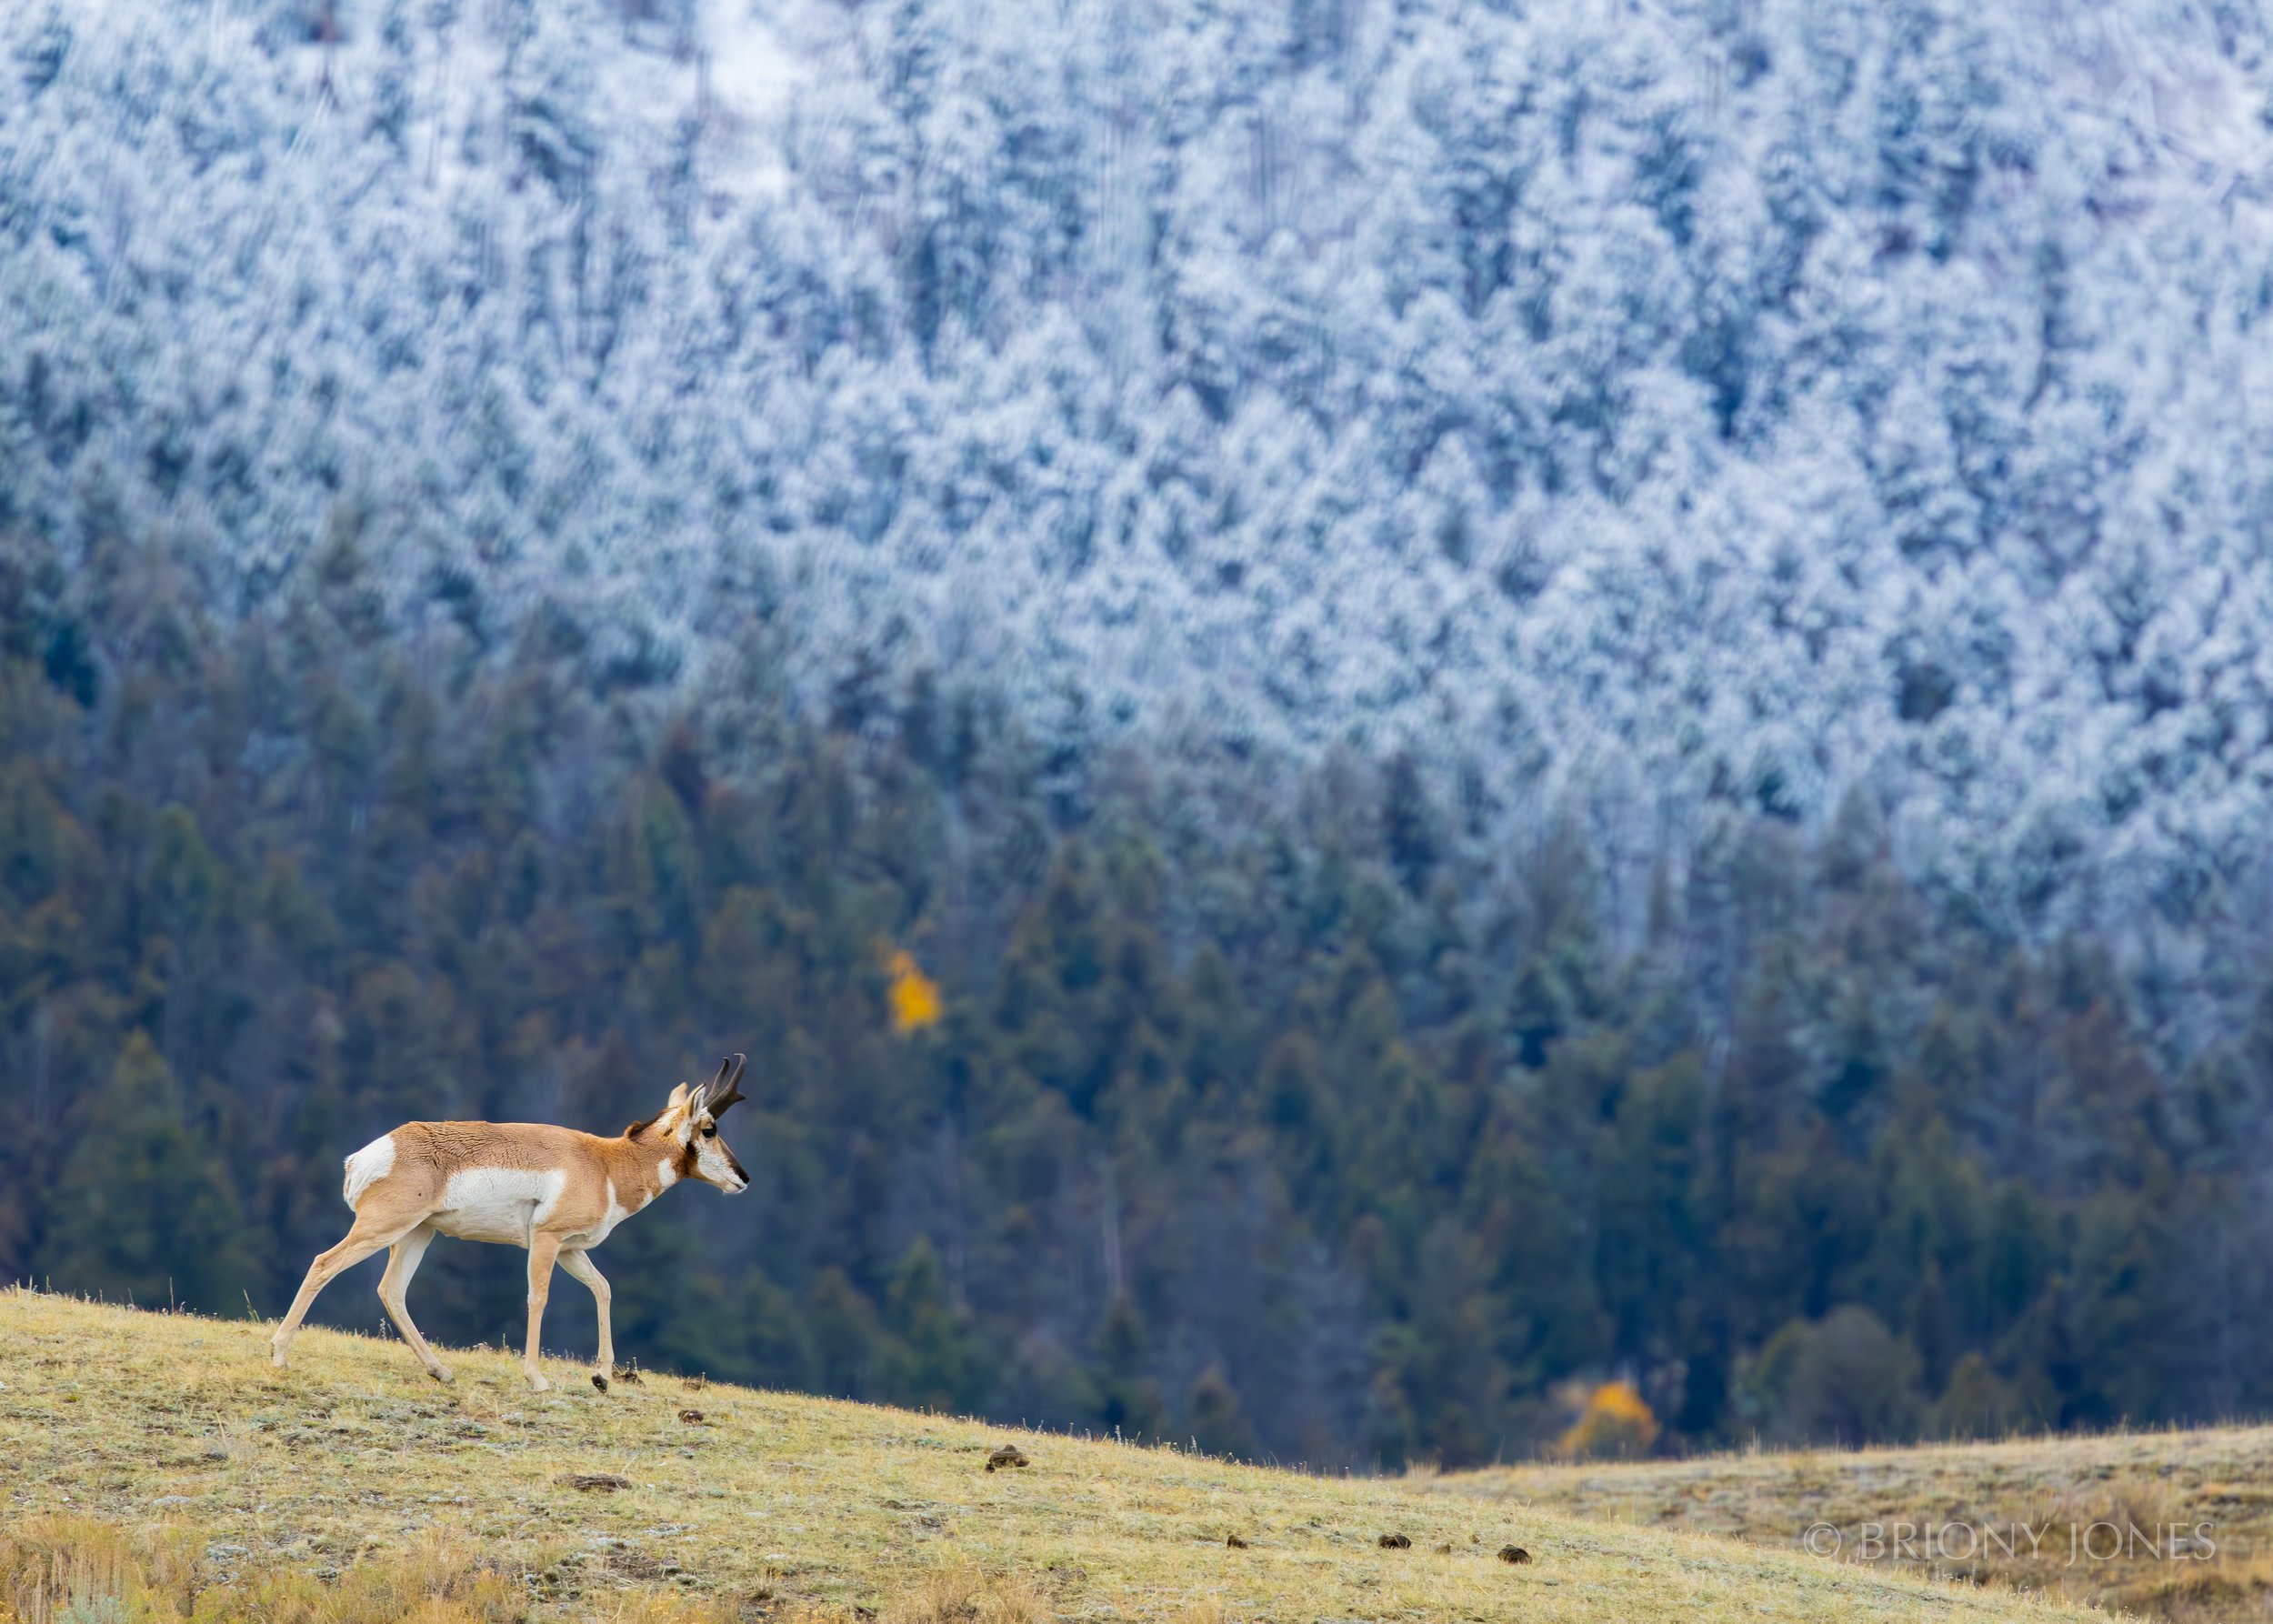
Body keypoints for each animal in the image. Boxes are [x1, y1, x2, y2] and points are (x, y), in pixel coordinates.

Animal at [269, 1054, 751, 1392]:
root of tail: (370, 1153)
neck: (607, 1164)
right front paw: (536, 1379)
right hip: (384, 1228)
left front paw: (601, 1377)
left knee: (391, 1290)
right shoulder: (546, 1240)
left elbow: (603, 1288)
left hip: (418, 1233)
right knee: (324, 1264)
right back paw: (278, 1355)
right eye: (709, 1128)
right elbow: (538, 1298)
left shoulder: (571, 1249)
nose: (744, 1178)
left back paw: (441, 1372)